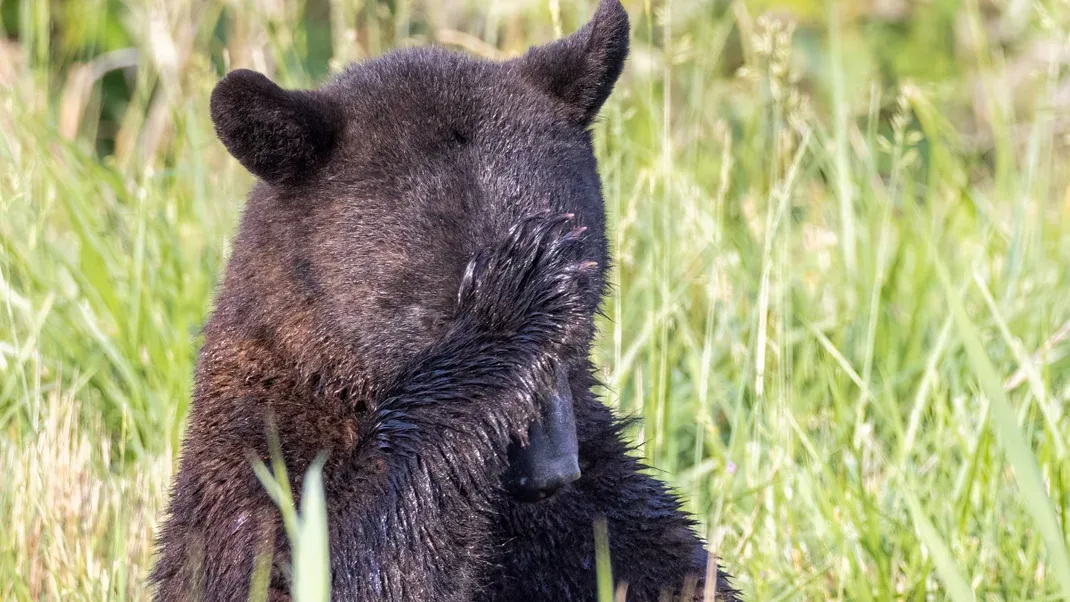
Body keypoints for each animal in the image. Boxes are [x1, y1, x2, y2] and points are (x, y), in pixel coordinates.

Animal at [150, 2, 740, 598]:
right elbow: (336, 562)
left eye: (581, 307)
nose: (552, 471)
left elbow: (663, 560)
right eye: (442, 314)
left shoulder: (598, 505)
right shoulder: (254, 471)